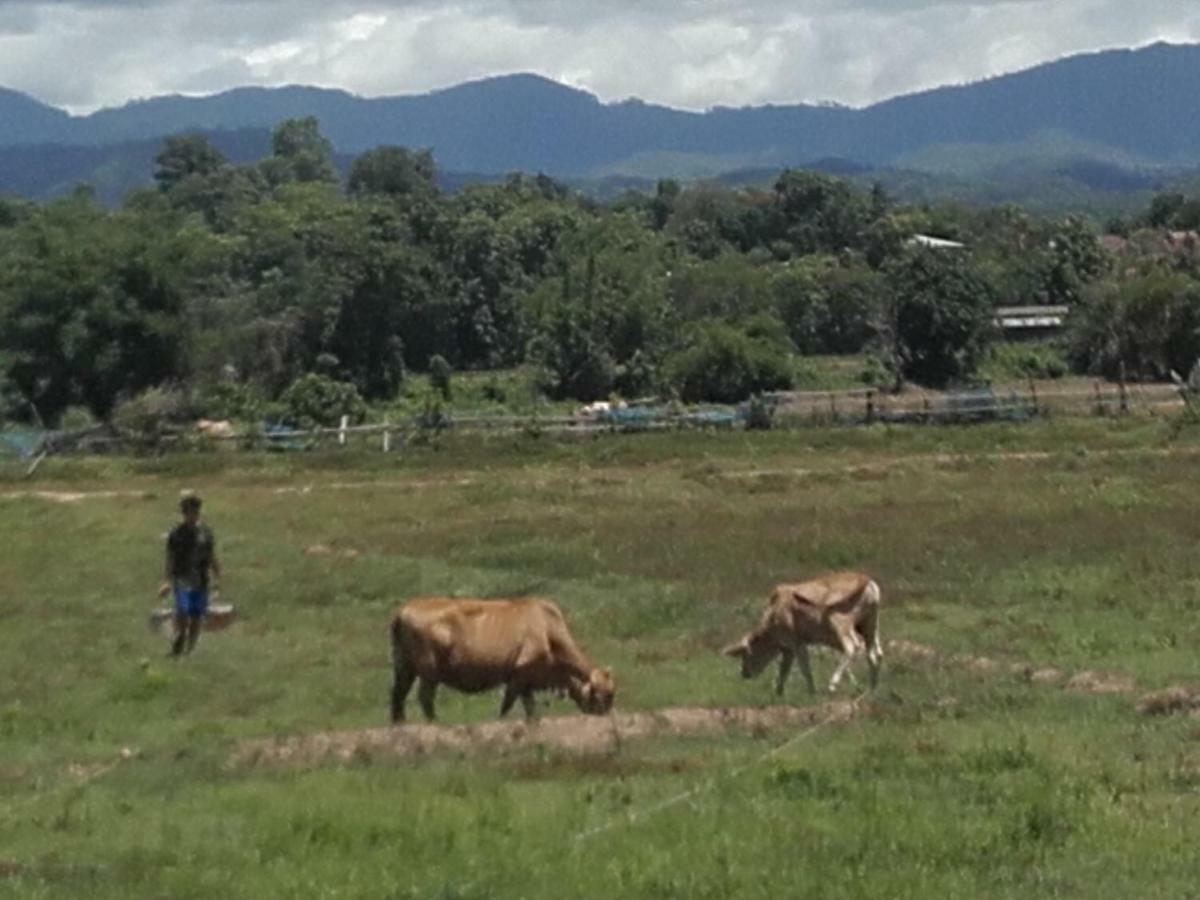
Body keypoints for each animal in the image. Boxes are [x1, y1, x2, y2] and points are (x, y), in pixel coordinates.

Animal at [391, 600, 619, 724]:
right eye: (605, 695)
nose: (606, 717)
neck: (548, 630)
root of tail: (403, 610)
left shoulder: (527, 683)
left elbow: (530, 709)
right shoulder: (518, 677)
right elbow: (507, 705)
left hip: (405, 669)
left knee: (398, 695)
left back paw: (399, 723)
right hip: (429, 673)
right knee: (424, 697)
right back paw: (435, 722)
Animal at [720, 571, 883, 696]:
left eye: (746, 653)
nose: (744, 673)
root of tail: (867, 581)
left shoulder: (797, 642)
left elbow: (805, 669)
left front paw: (812, 691)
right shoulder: (788, 649)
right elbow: (783, 671)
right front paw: (778, 692)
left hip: (840, 622)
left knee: (853, 647)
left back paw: (833, 683)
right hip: (869, 625)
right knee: (875, 654)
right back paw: (872, 688)